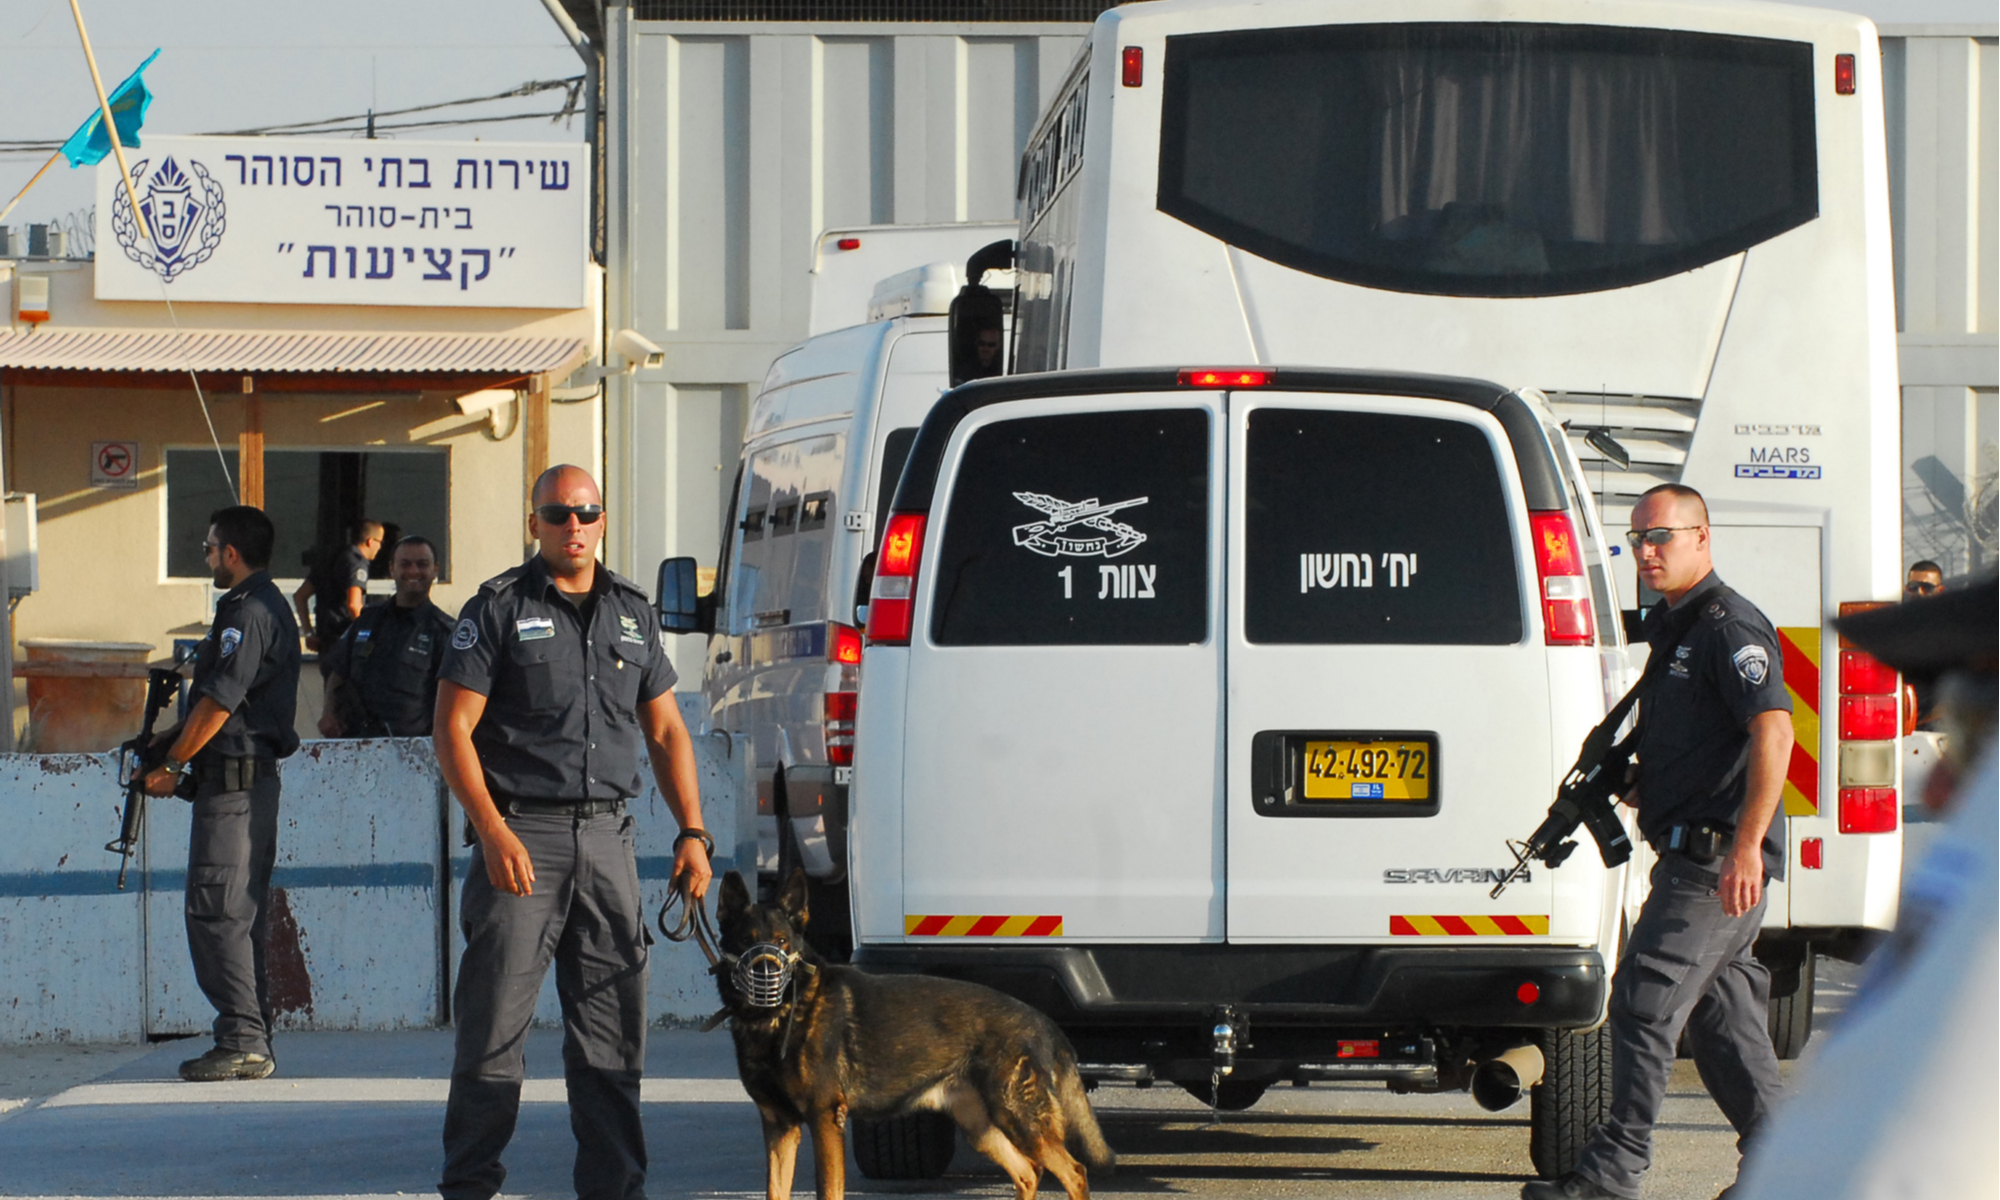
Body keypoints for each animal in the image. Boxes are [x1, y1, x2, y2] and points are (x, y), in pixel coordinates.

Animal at [716, 872, 1120, 1200]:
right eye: (746, 941)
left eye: (782, 942)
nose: (765, 975)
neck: (778, 1017)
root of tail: (1041, 1020)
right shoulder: (779, 1127)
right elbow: (775, 1190)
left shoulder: (824, 1120)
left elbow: (828, 1190)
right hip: (981, 1126)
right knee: (1028, 1173)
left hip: (1019, 1118)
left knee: (1073, 1172)